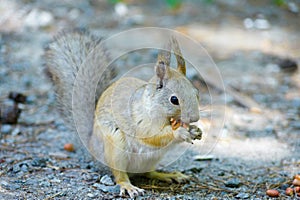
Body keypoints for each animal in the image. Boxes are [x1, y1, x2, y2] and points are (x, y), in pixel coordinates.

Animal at [44, 30, 203, 198]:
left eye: (196, 93)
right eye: (174, 99)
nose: (195, 118)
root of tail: (91, 145)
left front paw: (195, 130)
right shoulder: (140, 120)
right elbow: (151, 135)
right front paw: (180, 132)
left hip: (151, 159)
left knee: (148, 172)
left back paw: (168, 175)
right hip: (116, 147)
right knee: (120, 175)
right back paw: (128, 186)